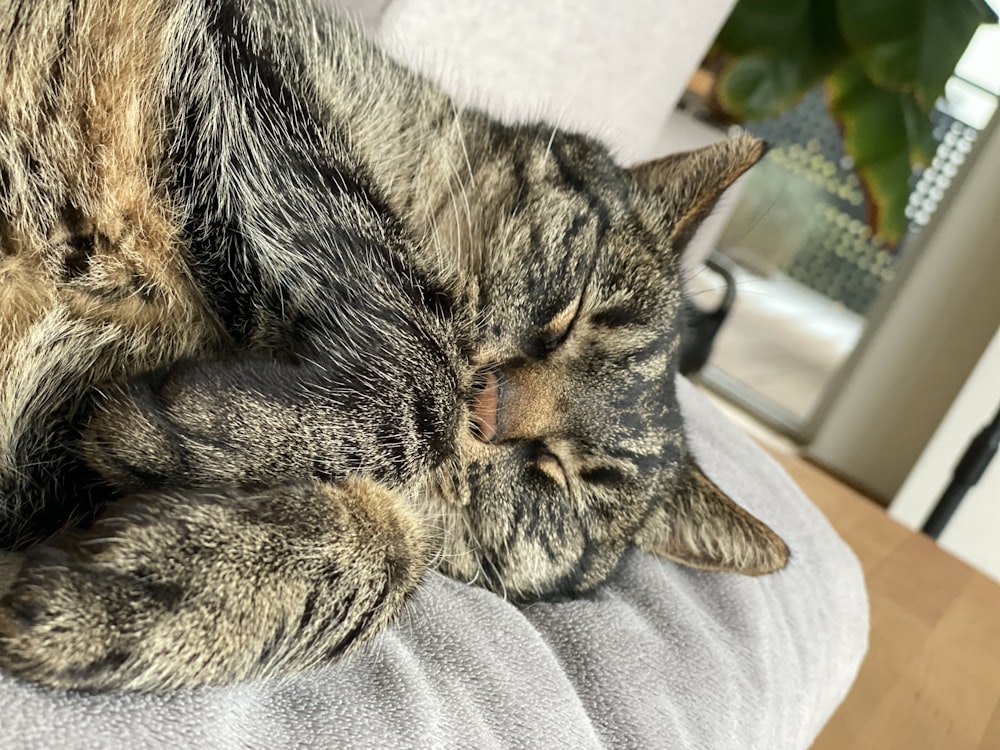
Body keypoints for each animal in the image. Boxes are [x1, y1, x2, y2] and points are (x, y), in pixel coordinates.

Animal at [0, 0, 788, 692]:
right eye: (573, 316)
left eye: (560, 478)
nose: (488, 409)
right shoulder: (260, 62)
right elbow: (424, 351)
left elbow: (397, 563)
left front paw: (172, 586)